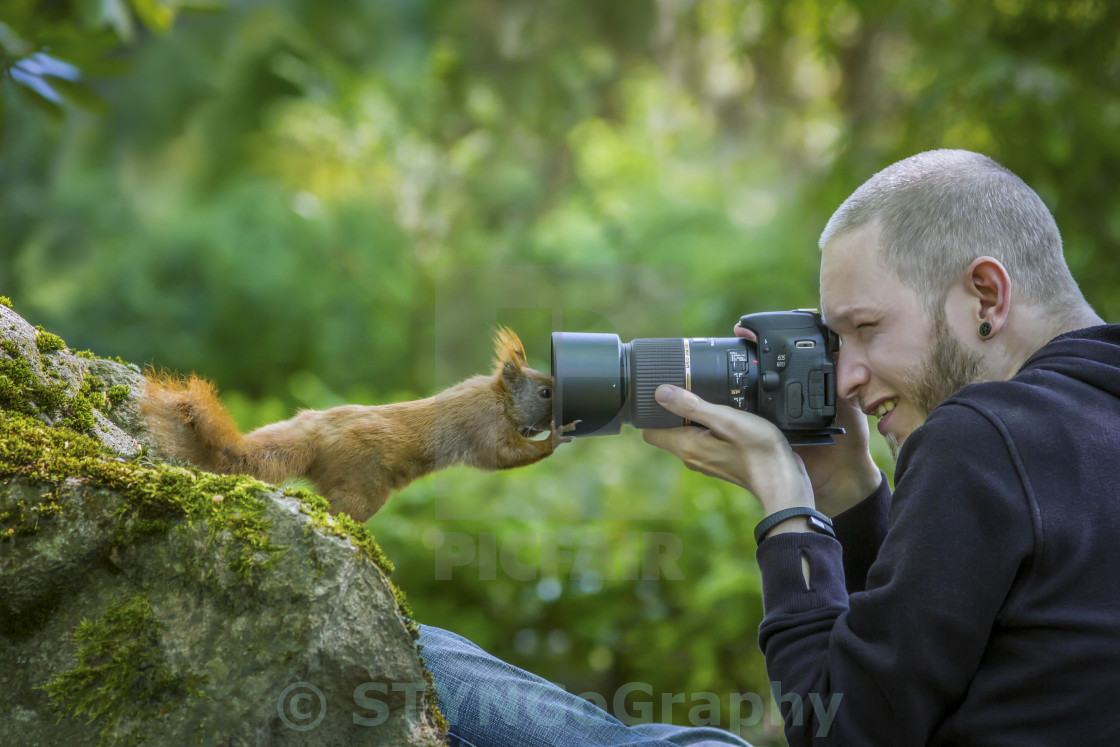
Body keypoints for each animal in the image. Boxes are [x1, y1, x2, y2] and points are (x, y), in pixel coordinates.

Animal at [141, 327, 573, 519]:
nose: (564, 407)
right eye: (544, 393)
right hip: (361, 489)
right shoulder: (483, 427)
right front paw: (556, 438)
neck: (499, 397)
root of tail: (314, 435)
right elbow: (506, 456)